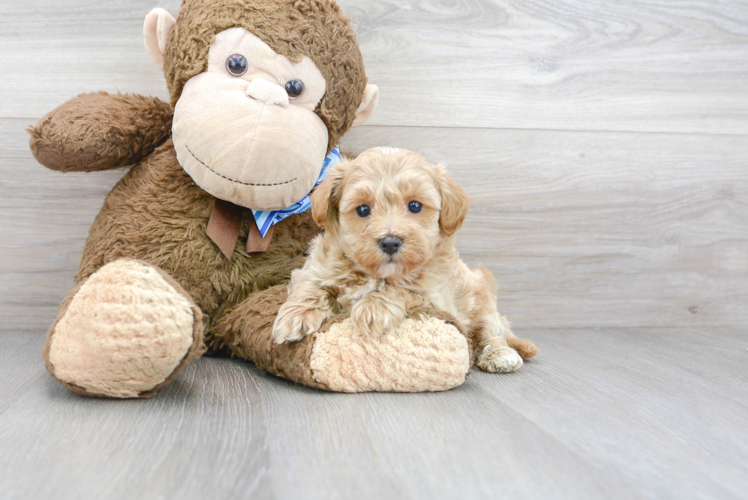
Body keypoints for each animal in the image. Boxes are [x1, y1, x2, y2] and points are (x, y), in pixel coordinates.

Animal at [272, 146, 536, 374]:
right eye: (363, 210)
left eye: (415, 206)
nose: (390, 242)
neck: (376, 273)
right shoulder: (316, 266)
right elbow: (311, 286)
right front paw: (294, 318)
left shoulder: (437, 297)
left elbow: (405, 288)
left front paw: (374, 308)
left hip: (482, 292)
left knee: (491, 330)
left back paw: (500, 354)